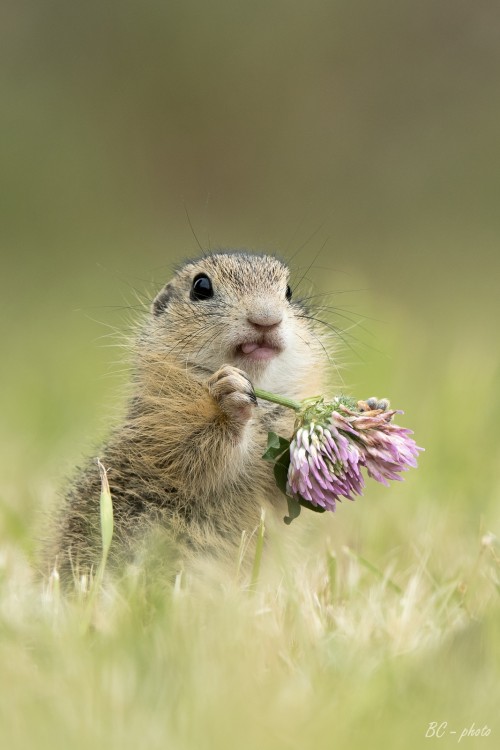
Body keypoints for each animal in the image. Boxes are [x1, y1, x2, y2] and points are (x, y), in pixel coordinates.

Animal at [47, 250, 328, 584]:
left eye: (288, 291)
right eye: (201, 287)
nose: (266, 318)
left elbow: (283, 490)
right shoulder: (161, 425)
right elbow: (191, 452)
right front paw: (230, 397)